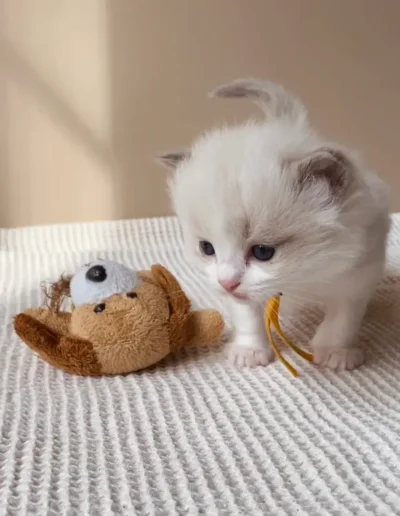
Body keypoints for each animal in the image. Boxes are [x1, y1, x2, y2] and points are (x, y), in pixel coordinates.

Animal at [158, 78, 390, 370]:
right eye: (207, 249)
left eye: (263, 252)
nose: (226, 283)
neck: (304, 278)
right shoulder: (241, 295)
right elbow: (248, 316)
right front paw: (249, 350)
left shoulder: (360, 273)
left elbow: (342, 319)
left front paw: (336, 352)